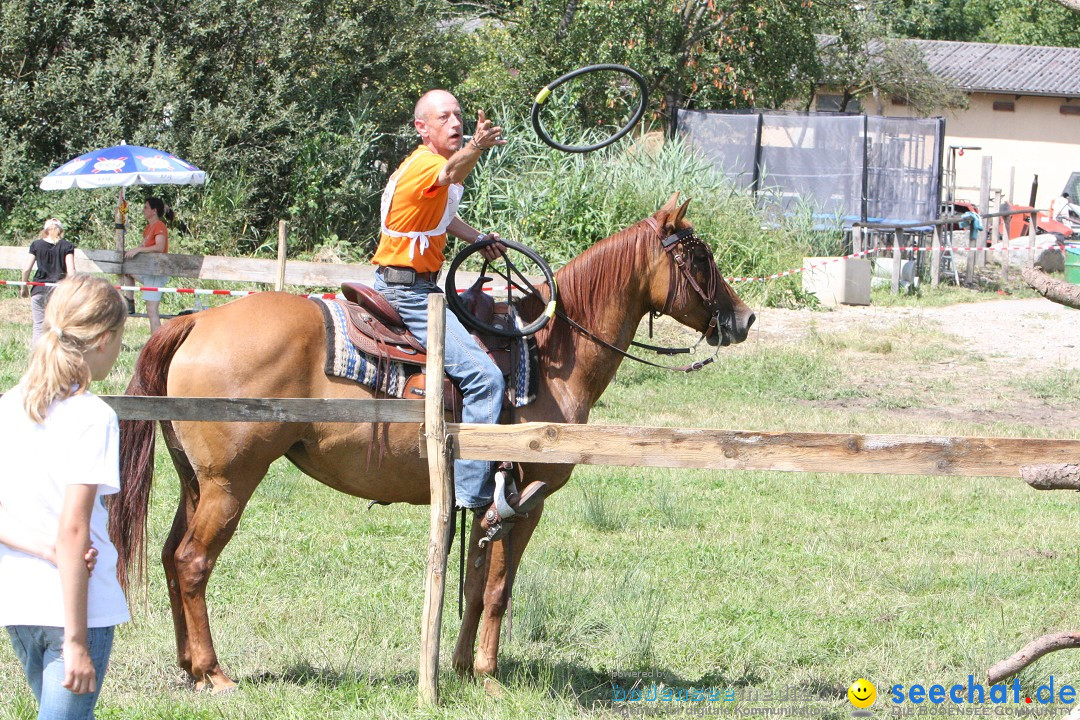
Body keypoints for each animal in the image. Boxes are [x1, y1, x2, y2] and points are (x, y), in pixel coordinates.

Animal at [109, 195, 751, 690]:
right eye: (700, 257)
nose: (742, 319)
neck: (551, 354)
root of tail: (195, 321)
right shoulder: (525, 501)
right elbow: (498, 589)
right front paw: (489, 676)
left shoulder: (487, 502)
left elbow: (473, 584)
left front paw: (464, 668)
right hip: (230, 482)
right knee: (192, 563)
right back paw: (214, 673)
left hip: (195, 481)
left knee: (169, 556)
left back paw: (189, 666)